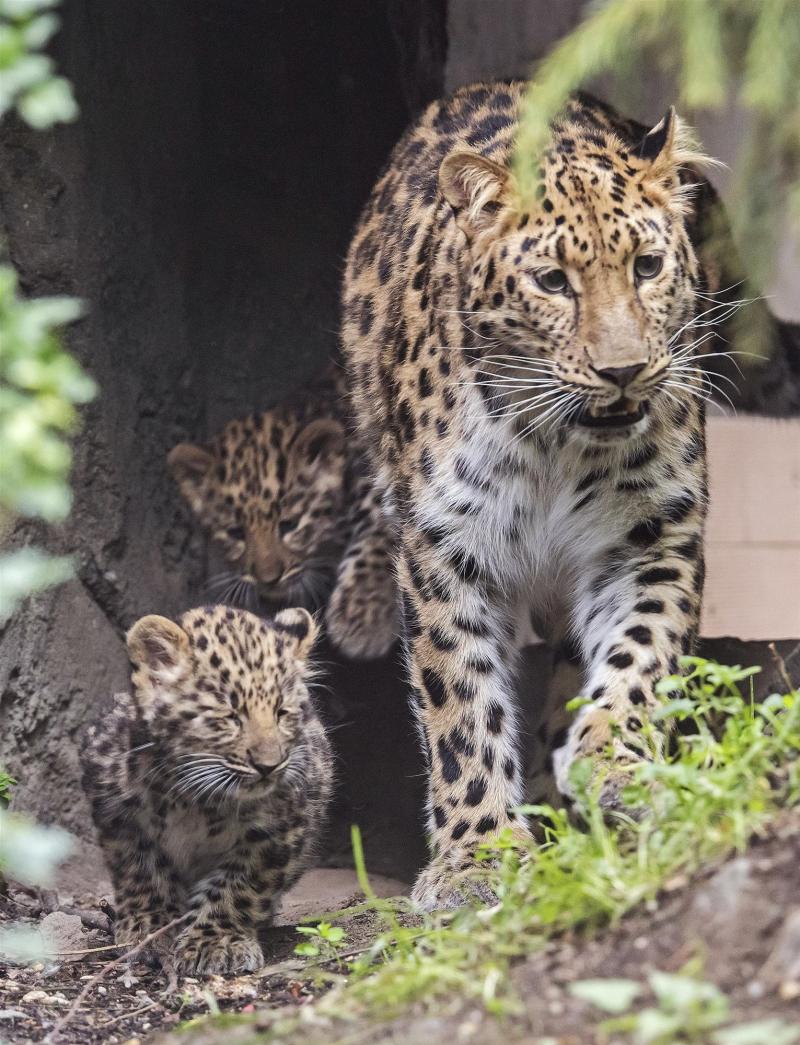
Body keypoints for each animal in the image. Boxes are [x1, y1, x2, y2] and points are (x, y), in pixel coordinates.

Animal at [81, 604, 333, 975]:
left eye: (282, 712)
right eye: (229, 716)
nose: (270, 765)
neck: (195, 799)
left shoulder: (281, 828)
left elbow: (240, 886)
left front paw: (216, 942)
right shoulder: (114, 808)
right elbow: (141, 870)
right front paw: (151, 925)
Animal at [340, 81, 733, 909]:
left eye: (648, 266)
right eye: (553, 282)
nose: (623, 371)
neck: (558, 447)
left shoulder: (651, 533)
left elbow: (640, 657)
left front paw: (615, 763)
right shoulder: (445, 547)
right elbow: (460, 700)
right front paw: (477, 856)